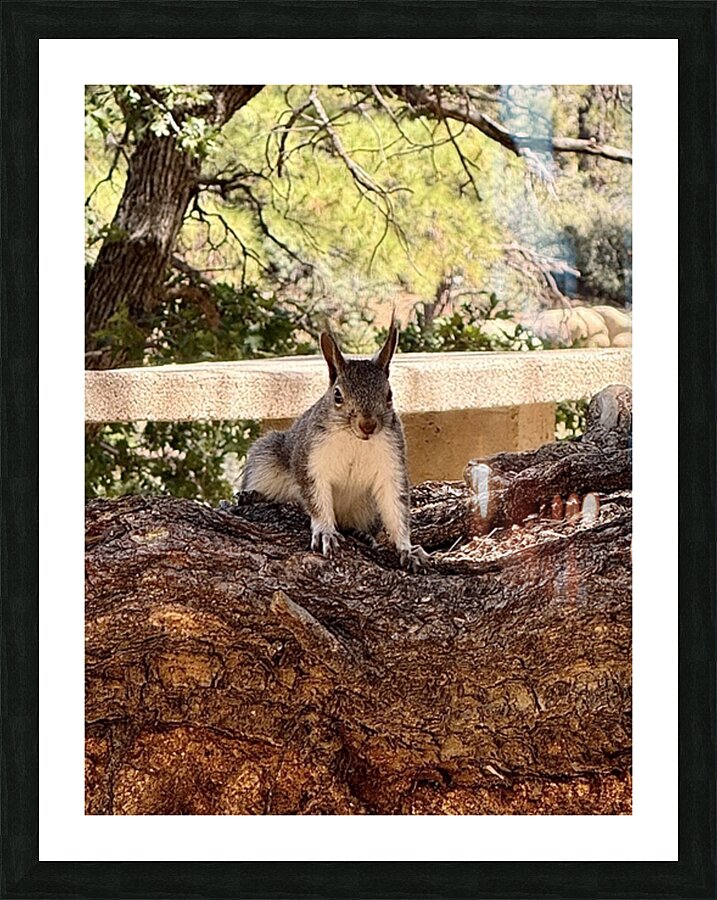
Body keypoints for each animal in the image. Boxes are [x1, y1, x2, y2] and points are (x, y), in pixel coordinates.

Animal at [240, 318, 428, 571]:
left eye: (389, 394)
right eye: (337, 395)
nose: (368, 425)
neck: (354, 439)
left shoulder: (392, 462)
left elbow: (396, 507)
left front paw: (408, 549)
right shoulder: (310, 461)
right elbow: (317, 500)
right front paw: (325, 533)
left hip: (368, 508)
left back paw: (361, 534)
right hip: (265, 458)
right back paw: (252, 495)